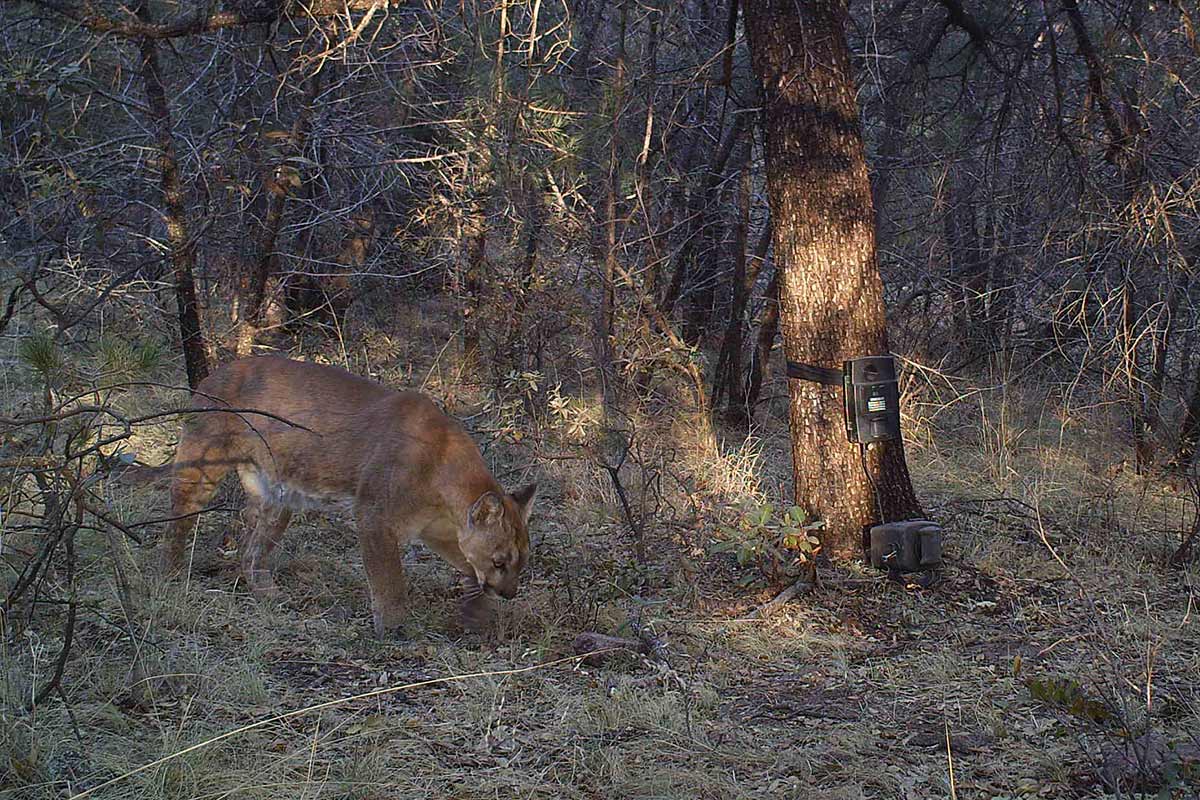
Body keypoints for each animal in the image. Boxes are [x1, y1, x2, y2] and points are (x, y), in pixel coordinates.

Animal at [152, 355, 536, 637]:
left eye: (520, 562)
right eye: (500, 561)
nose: (510, 593)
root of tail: (214, 374)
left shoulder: (437, 532)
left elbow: (467, 565)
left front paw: (476, 614)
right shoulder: (375, 517)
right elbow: (389, 579)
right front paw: (394, 628)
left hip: (278, 498)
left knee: (251, 547)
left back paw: (266, 592)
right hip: (201, 468)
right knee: (177, 523)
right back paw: (171, 576)